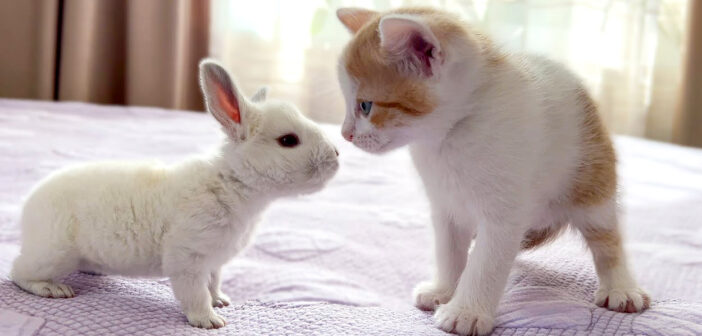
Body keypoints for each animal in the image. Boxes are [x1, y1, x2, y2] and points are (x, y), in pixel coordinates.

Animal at [10, 58, 340, 328]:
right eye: (288, 140)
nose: (337, 155)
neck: (232, 183)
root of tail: (29, 206)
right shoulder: (188, 259)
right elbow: (195, 294)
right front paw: (210, 321)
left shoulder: (213, 263)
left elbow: (213, 284)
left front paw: (221, 301)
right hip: (54, 255)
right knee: (18, 272)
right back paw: (53, 289)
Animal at [338, 6, 652, 334]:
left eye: (365, 106)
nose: (345, 134)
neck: (450, 135)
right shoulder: (446, 207)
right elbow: (449, 251)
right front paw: (443, 290)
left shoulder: (504, 213)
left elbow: (486, 262)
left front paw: (465, 311)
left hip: (592, 180)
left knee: (606, 238)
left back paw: (621, 287)